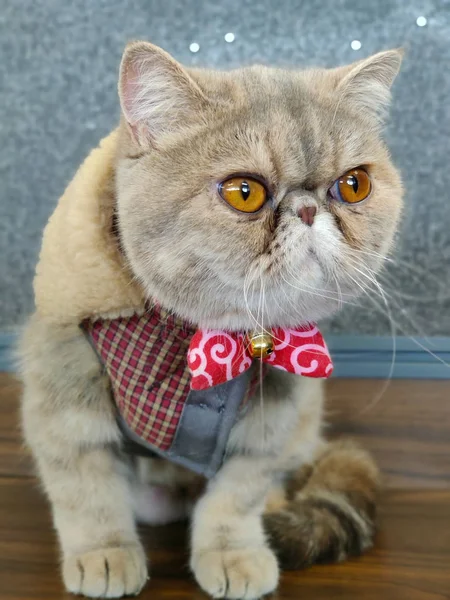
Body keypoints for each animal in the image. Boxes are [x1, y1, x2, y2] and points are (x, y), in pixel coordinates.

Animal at [18, 39, 404, 596]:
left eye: (354, 185)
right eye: (245, 192)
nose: (308, 209)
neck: (203, 337)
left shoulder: (274, 410)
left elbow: (235, 497)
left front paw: (233, 554)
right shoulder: (63, 388)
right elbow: (87, 492)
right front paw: (105, 554)